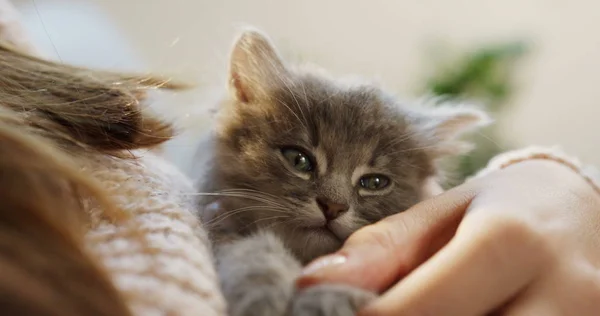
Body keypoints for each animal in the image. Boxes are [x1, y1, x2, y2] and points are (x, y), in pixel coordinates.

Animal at [199, 29, 490, 316]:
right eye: (299, 160)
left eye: (374, 182)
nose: (332, 206)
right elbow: (254, 251)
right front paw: (263, 294)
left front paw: (326, 301)